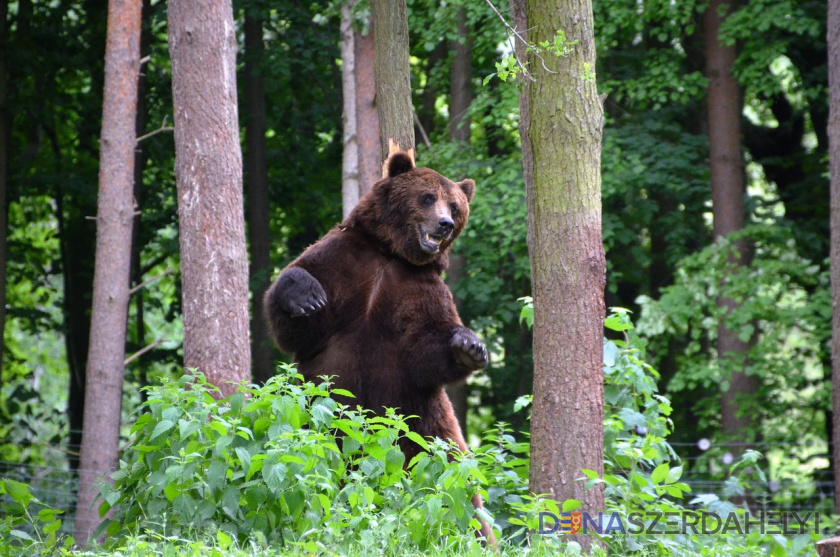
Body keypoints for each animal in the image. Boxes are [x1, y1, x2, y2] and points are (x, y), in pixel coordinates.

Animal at [266, 150, 496, 540]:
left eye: (455, 204)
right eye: (427, 198)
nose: (446, 224)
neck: (392, 255)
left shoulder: (420, 289)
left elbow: (426, 348)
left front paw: (469, 347)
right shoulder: (342, 260)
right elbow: (295, 320)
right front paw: (305, 296)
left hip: (421, 421)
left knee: (453, 479)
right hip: (319, 414)